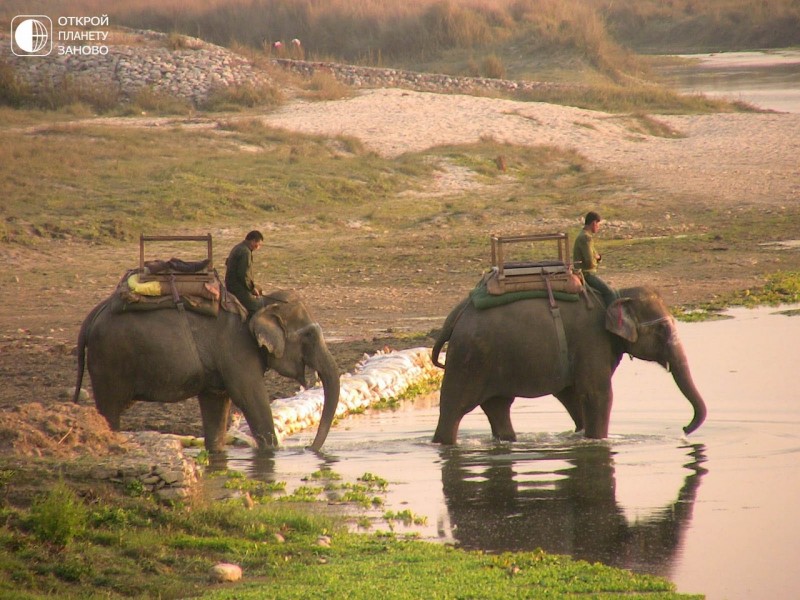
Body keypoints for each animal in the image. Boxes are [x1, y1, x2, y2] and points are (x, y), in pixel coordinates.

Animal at [71, 288, 340, 452]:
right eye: (309, 335)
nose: (308, 448)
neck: (263, 305)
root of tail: (91, 317)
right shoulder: (237, 350)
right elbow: (251, 400)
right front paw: (272, 452)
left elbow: (216, 404)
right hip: (108, 361)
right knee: (109, 409)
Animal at [432, 286, 708, 446]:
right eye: (663, 329)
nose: (683, 429)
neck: (614, 296)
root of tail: (456, 315)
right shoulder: (592, 340)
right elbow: (597, 394)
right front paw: (599, 441)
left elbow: (571, 395)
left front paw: (581, 434)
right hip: (468, 359)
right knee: (454, 408)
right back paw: (444, 443)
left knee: (498, 406)